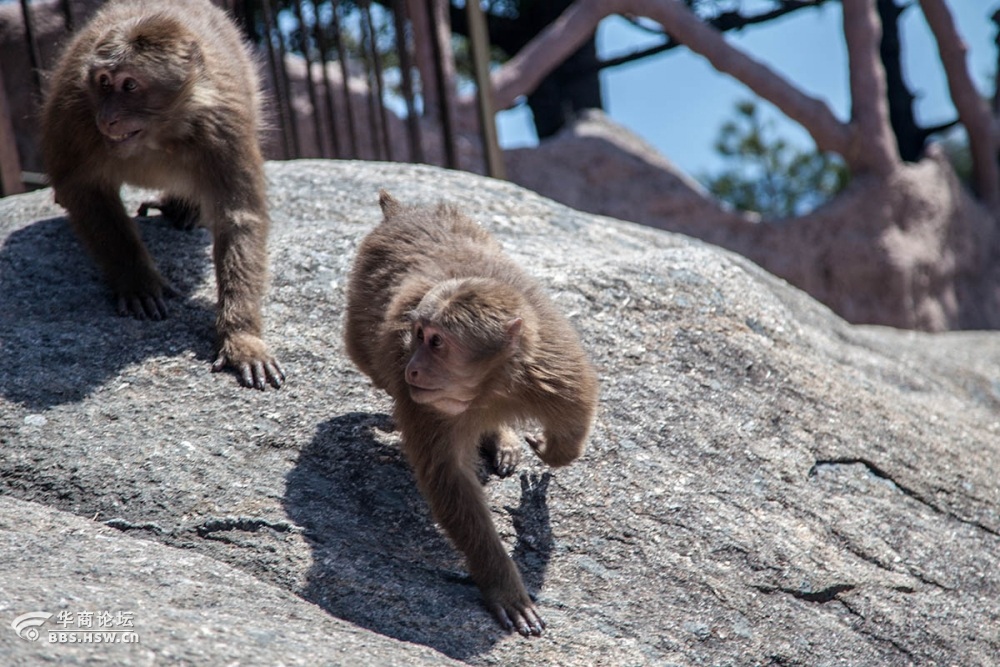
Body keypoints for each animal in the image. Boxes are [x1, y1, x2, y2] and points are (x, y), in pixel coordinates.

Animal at [41, 0, 284, 392]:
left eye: (130, 85)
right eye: (104, 82)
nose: (108, 117)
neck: (157, 133)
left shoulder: (223, 124)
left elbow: (238, 217)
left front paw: (242, 337)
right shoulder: (76, 111)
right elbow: (82, 189)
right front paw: (138, 280)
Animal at [344, 192, 596, 636]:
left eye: (437, 342)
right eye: (418, 335)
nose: (412, 368)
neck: (489, 385)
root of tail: (402, 213)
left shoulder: (552, 367)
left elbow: (575, 416)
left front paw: (550, 451)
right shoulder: (422, 403)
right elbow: (451, 481)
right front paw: (504, 586)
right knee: (368, 359)